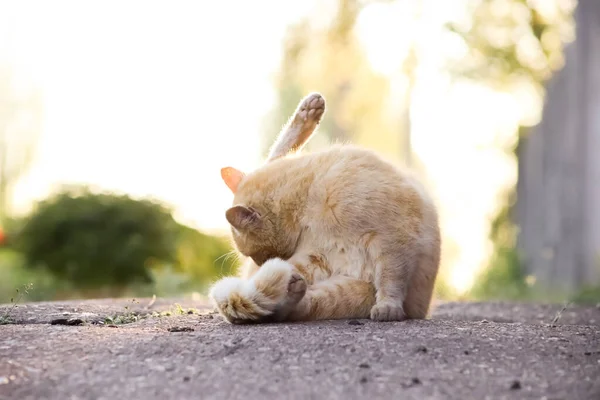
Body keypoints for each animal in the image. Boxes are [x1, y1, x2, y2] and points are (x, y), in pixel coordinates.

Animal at [210, 93, 440, 322]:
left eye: (256, 253)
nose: (261, 263)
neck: (310, 199)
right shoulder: (314, 259)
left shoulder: (392, 239)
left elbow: (391, 278)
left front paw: (387, 306)